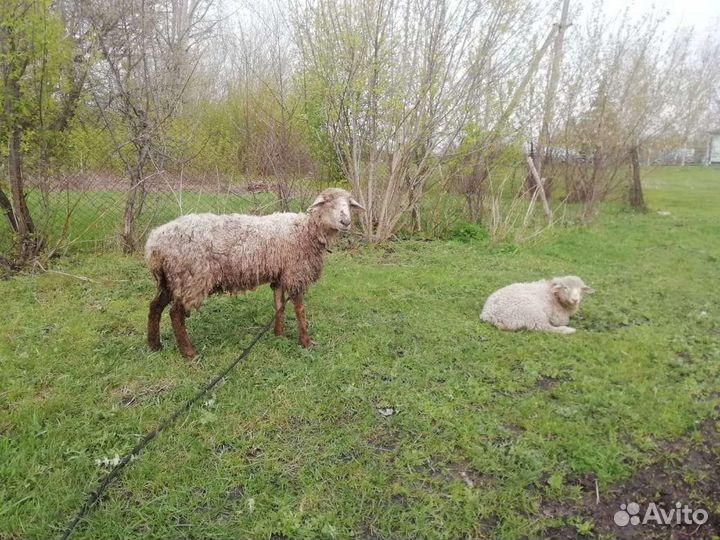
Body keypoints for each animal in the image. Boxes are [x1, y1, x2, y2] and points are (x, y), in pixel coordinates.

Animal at [145, 188, 365, 358]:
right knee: (175, 314)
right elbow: (300, 310)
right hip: (192, 277)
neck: (306, 232)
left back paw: (154, 345)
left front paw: (279, 335)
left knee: (155, 306)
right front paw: (306, 342)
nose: (346, 222)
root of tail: (155, 243)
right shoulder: (295, 274)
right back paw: (189, 353)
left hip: (171, 278)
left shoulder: (279, 275)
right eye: (327, 202)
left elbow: (279, 306)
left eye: (348, 204)